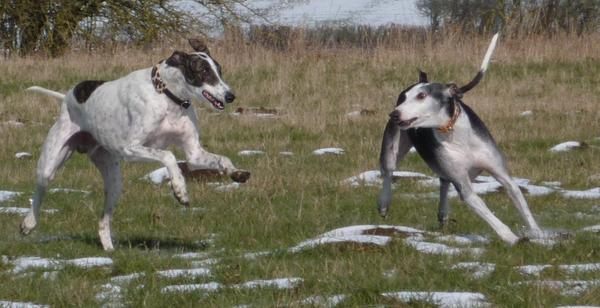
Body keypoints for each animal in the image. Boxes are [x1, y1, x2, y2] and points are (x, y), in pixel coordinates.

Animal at [22, 38, 248, 250]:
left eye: (220, 71)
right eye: (203, 71)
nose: (230, 96)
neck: (167, 97)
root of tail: (68, 96)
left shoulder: (194, 153)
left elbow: (221, 159)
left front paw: (236, 173)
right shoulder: (130, 149)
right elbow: (169, 156)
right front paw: (179, 189)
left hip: (114, 182)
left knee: (103, 221)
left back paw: (109, 249)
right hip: (50, 162)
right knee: (40, 190)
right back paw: (28, 223)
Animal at [380, 33, 544, 244]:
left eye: (422, 96)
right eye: (404, 98)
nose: (394, 114)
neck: (455, 133)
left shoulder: (503, 175)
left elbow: (522, 204)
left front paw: (539, 235)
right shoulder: (465, 187)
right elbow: (489, 215)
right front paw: (512, 238)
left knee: (443, 181)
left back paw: (443, 213)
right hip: (392, 151)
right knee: (388, 172)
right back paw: (384, 204)